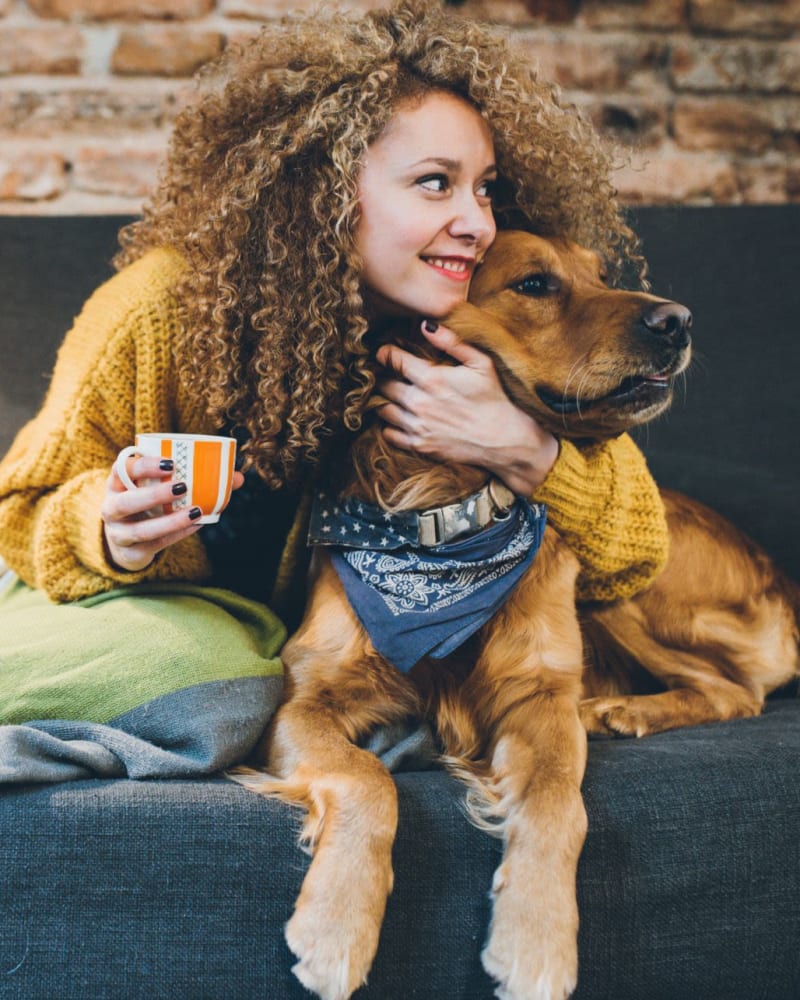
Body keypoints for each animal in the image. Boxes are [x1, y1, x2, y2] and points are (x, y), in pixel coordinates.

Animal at [233, 229, 800, 1000]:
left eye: (602, 274)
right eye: (534, 284)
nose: (678, 319)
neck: (453, 516)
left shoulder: (540, 696)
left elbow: (561, 801)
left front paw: (536, 941)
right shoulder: (303, 701)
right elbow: (368, 777)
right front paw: (337, 924)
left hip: (619, 588)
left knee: (735, 691)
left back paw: (624, 710)